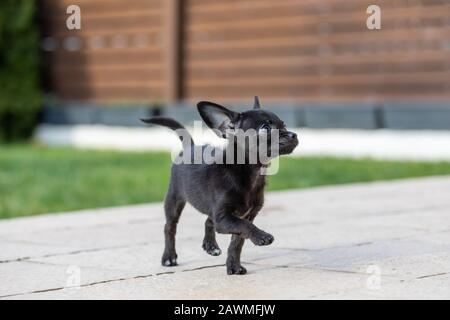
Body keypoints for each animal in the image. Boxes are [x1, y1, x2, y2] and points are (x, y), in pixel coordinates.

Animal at [142, 97, 298, 276]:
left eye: (284, 124)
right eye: (265, 128)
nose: (293, 134)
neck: (250, 173)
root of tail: (190, 146)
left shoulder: (243, 215)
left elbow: (237, 242)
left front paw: (233, 266)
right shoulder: (225, 218)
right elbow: (244, 226)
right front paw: (261, 236)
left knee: (208, 221)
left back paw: (211, 246)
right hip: (174, 199)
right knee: (170, 227)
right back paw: (169, 257)